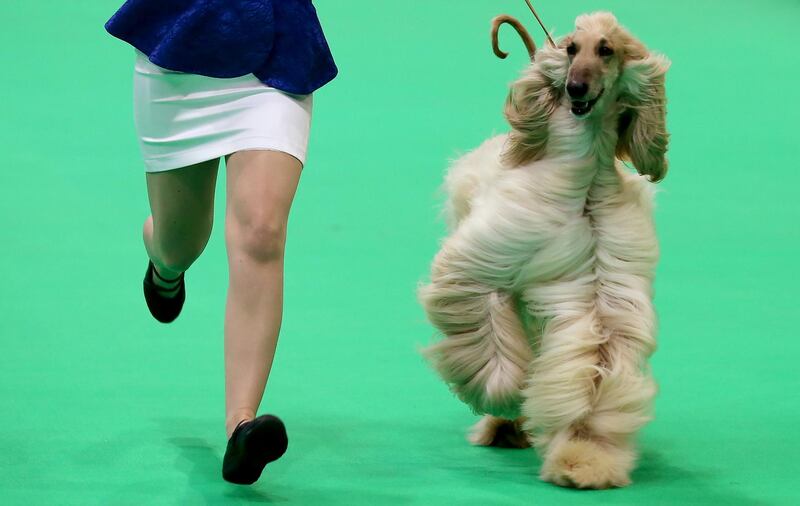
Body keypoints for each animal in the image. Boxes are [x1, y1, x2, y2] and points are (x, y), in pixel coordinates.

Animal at [418, 10, 668, 486]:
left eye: (606, 50)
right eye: (571, 48)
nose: (575, 88)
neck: (582, 180)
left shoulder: (604, 300)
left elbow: (597, 367)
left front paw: (584, 456)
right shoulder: (479, 269)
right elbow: (487, 336)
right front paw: (505, 397)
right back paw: (504, 423)